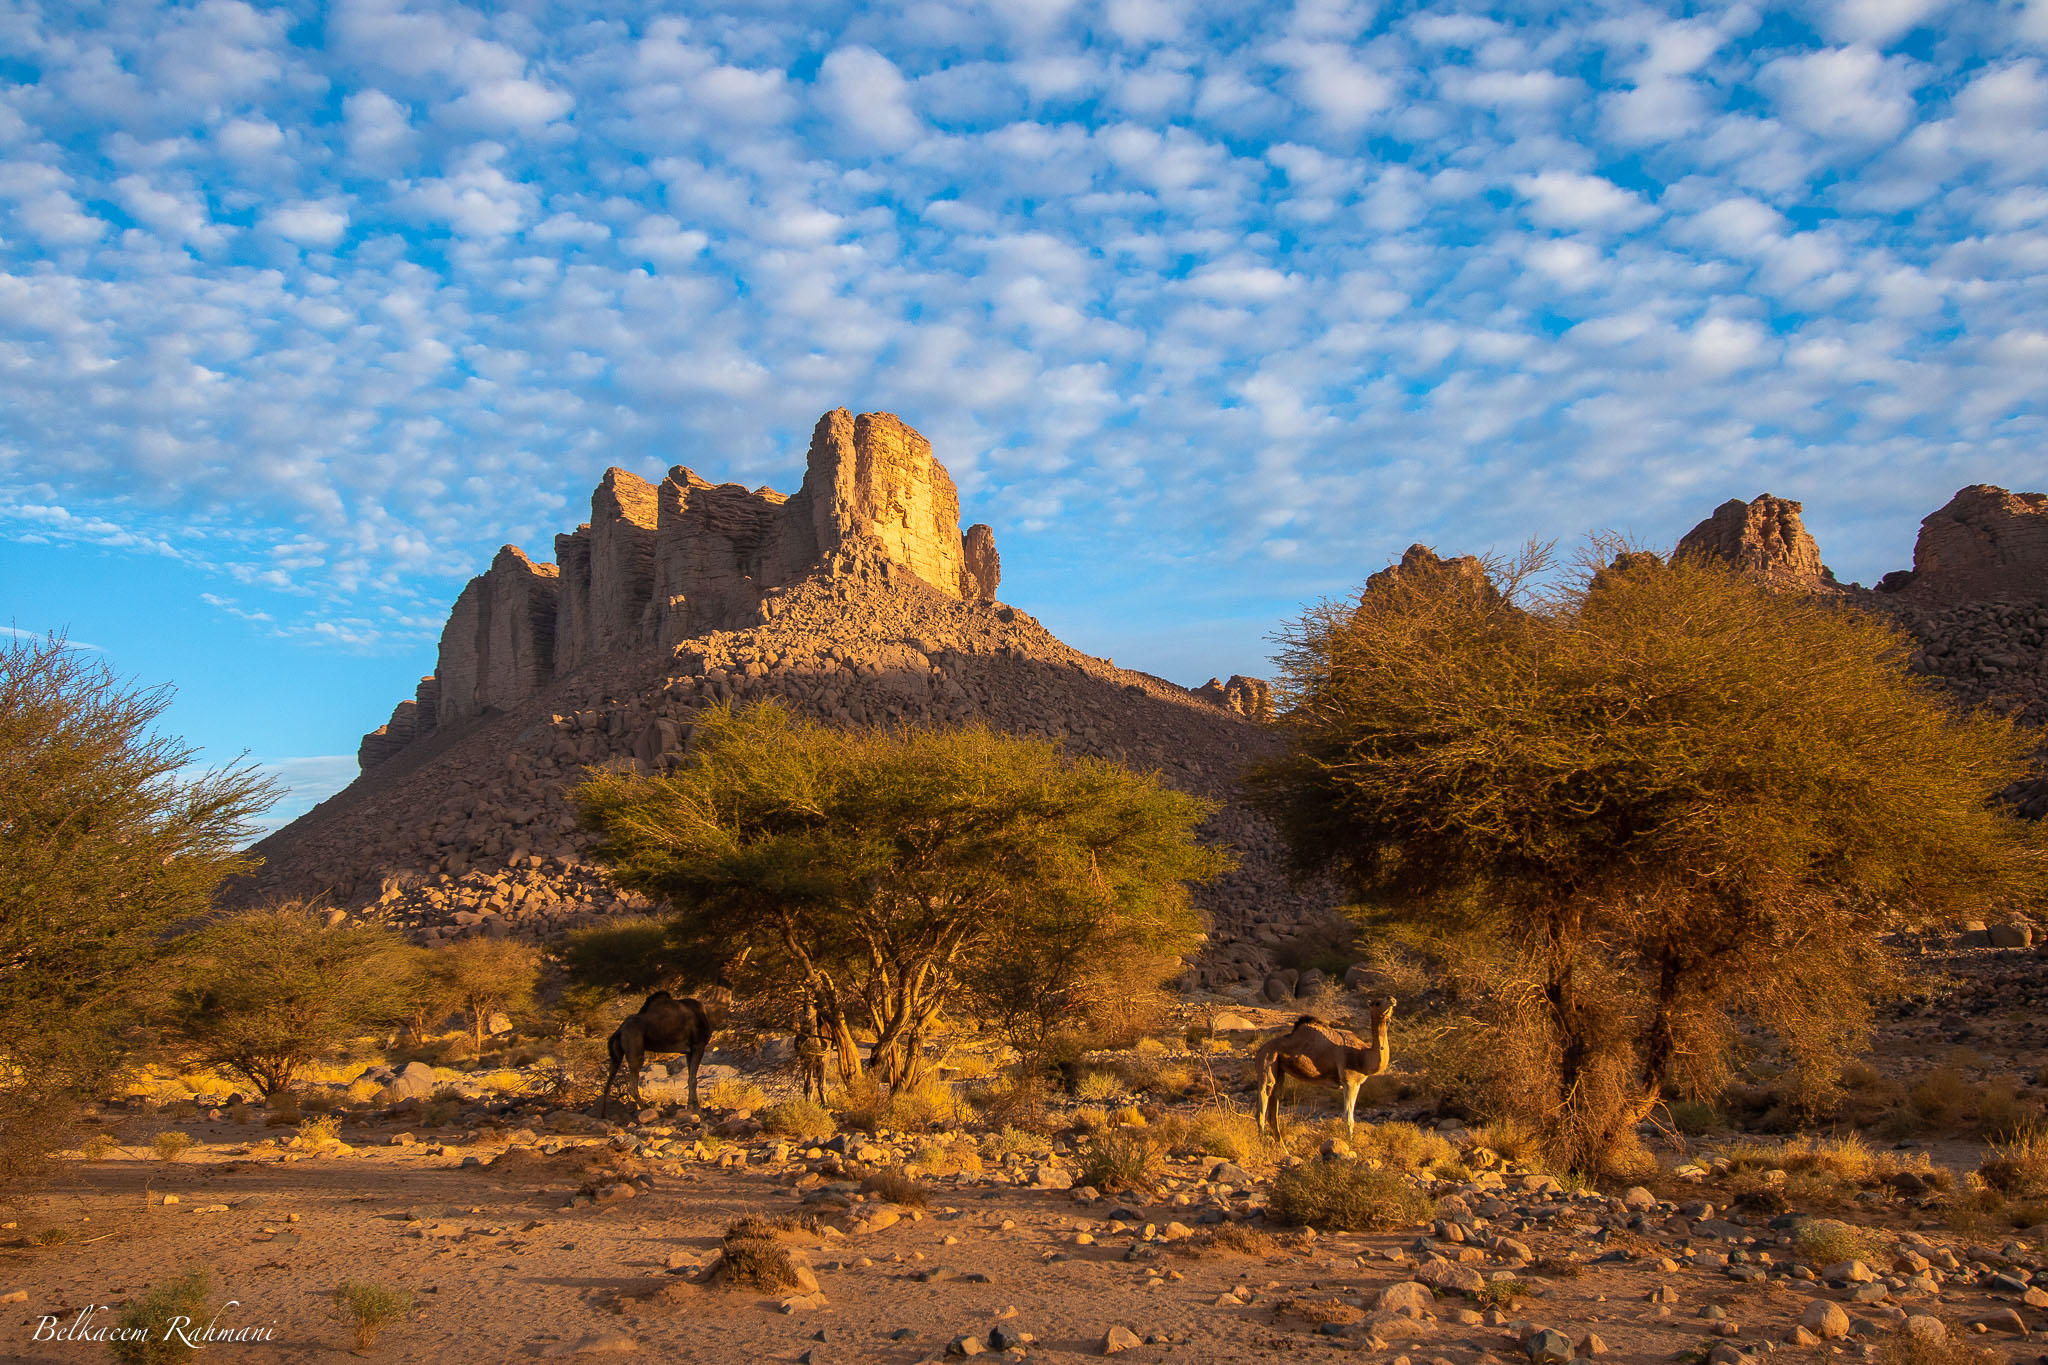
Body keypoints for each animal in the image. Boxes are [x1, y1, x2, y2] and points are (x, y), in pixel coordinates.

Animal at [1245, 994, 1392, 1146]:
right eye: (1377, 1002)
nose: (1392, 999)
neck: (1363, 1056)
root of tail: (1260, 1050)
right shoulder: (1349, 1081)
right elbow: (1348, 1118)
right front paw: (1350, 1143)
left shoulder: (1356, 1083)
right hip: (1266, 1062)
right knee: (1262, 1105)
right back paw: (1263, 1144)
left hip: (1278, 1069)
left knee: (1273, 1109)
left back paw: (1282, 1148)